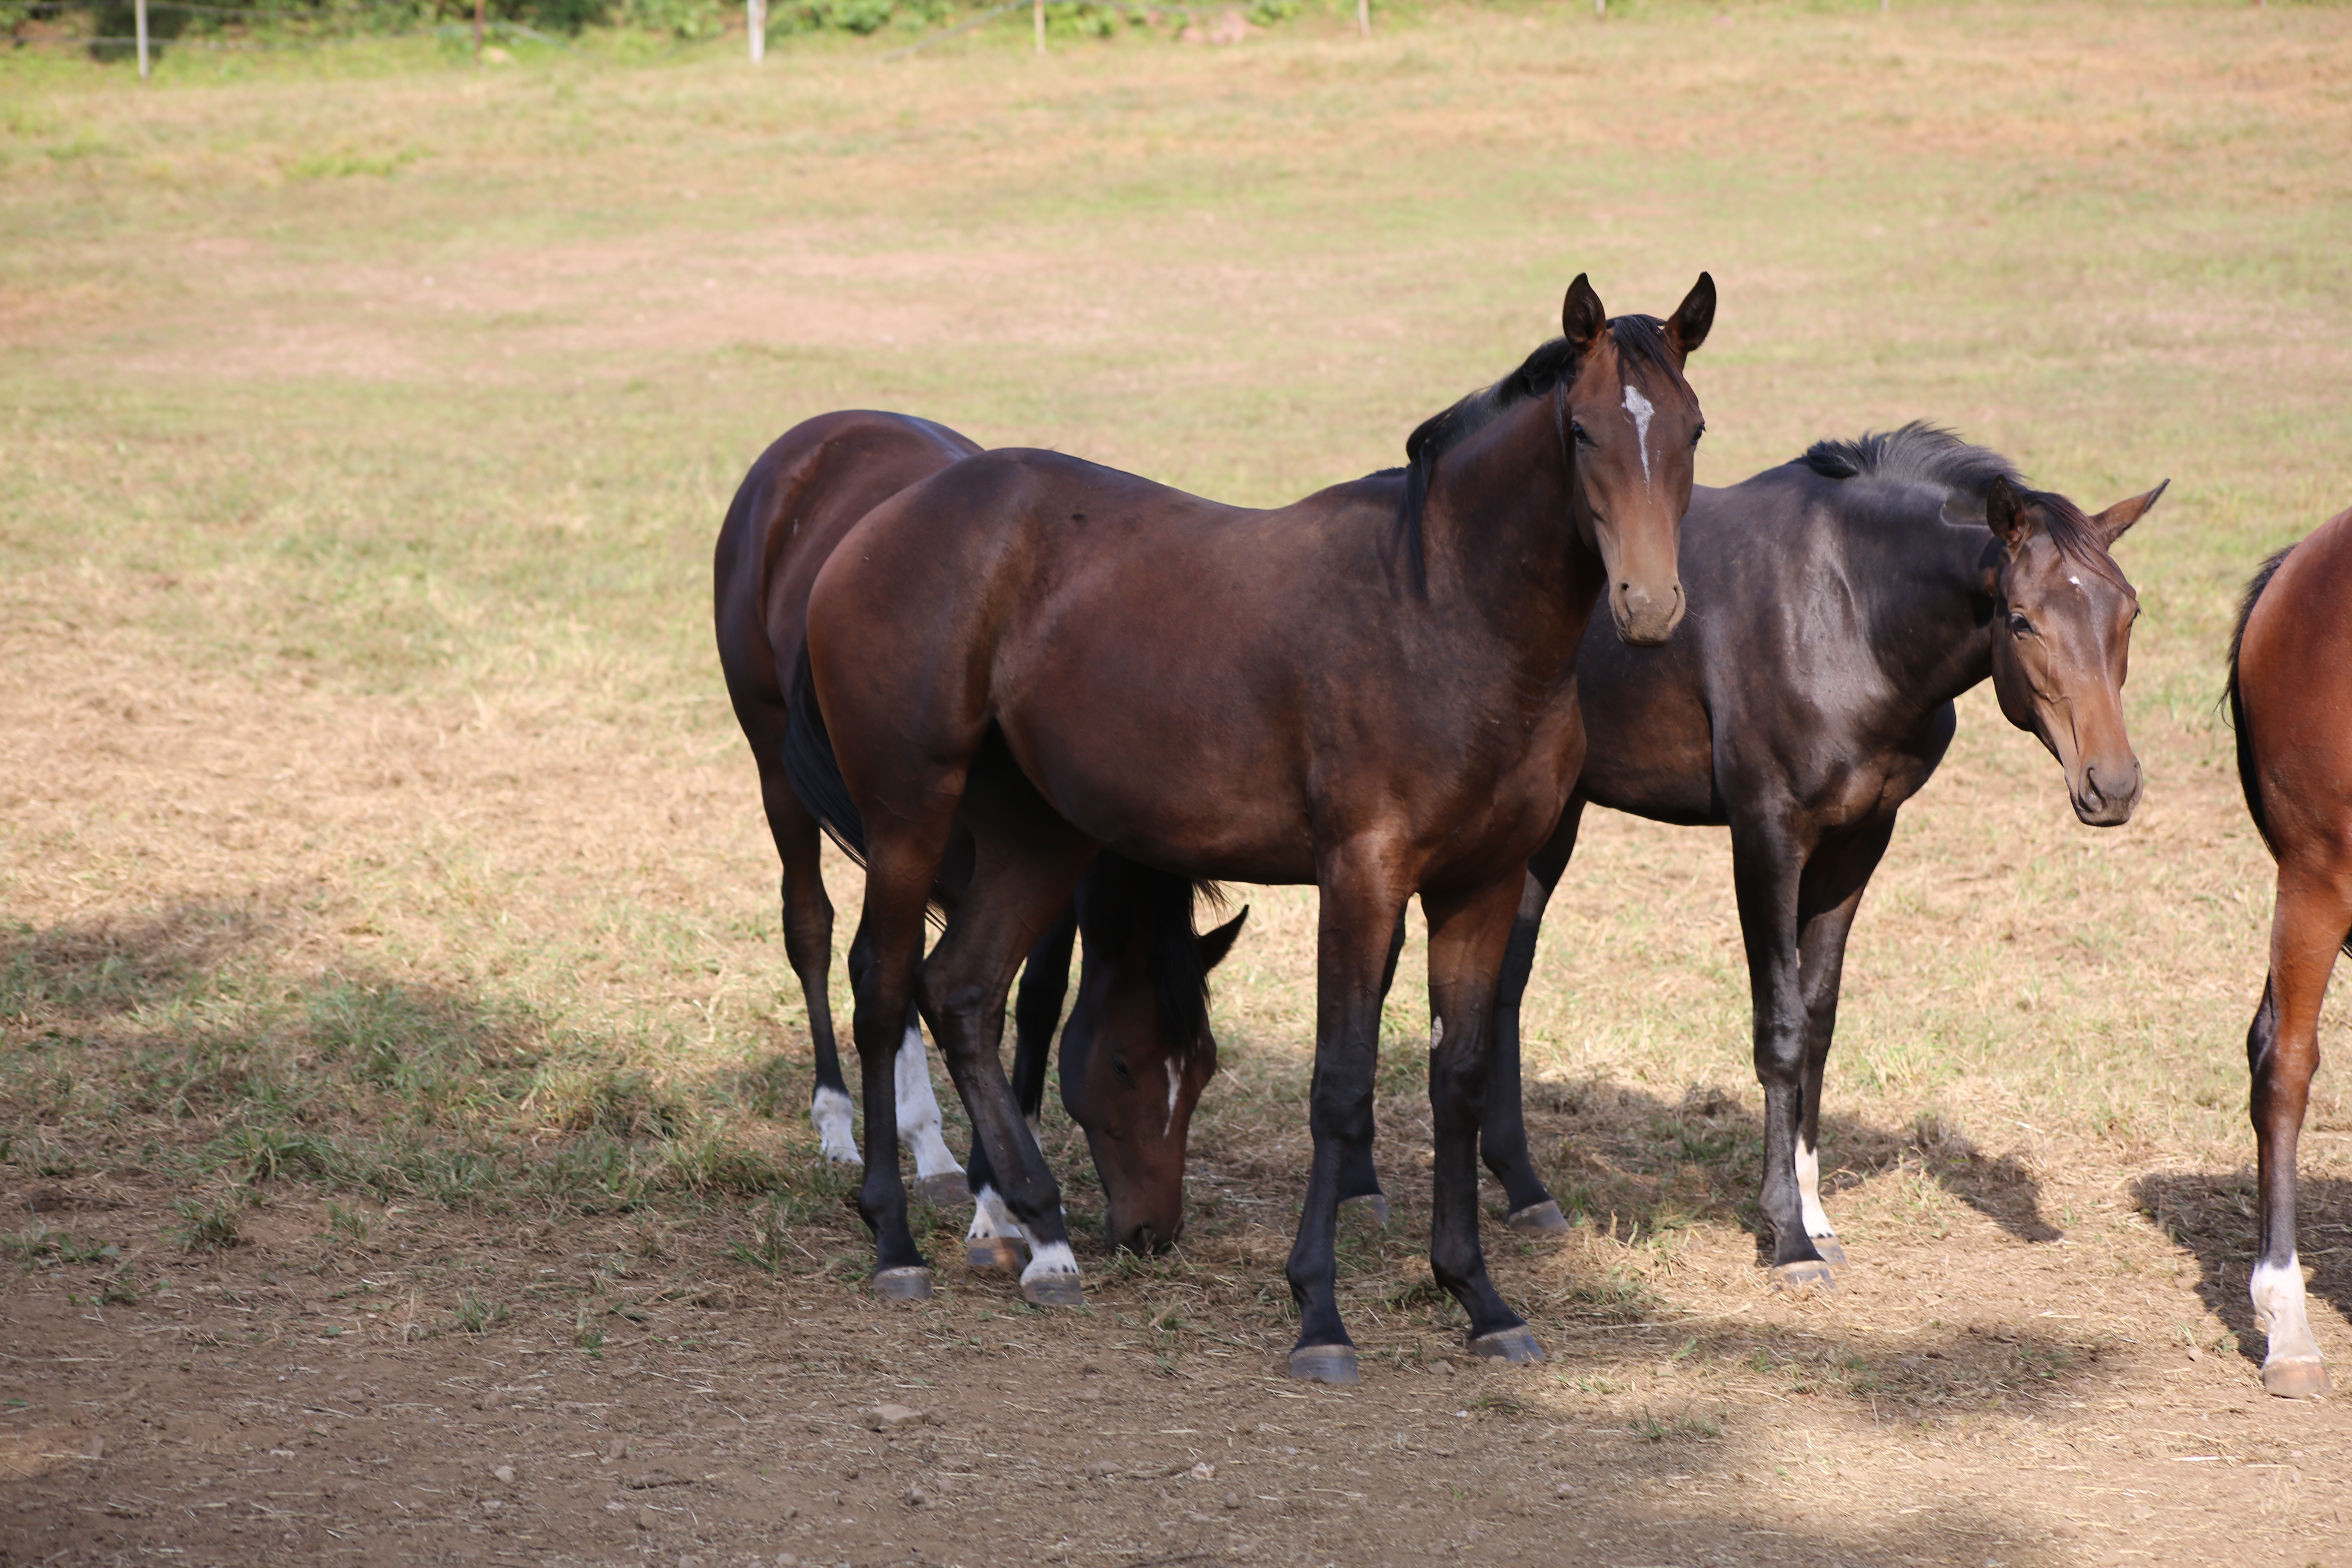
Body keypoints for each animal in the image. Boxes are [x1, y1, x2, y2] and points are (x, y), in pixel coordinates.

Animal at [706, 404, 1251, 1260]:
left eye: (1203, 1068)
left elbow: (1030, 999)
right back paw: (839, 1122)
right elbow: (944, 988)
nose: (1152, 1234)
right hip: (780, 770)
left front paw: (994, 1178)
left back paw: (928, 1147)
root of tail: (821, 433)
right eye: (1125, 1066)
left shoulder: (1038, 875)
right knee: (814, 930)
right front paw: (997, 1202)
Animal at [785, 276, 1712, 1382]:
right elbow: (1340, 1085)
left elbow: (1456, 1078)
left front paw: (1479, 1297)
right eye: (1580, 431)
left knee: (959, 990)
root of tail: (868, 530)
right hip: (909, 817)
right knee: (883, 990)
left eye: (1695, 430)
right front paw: (1319, 1312)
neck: (1441, 609)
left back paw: (1044, 1234)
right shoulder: (1362, 877)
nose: (1649, 604)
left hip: (1037, 835)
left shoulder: (1480, 887)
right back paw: (893, 1236)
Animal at [1336, 425, 2154, 1288]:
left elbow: (1819, 1020)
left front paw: (1817, 1215)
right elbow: (1780, 1029)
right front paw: (1788, 1235)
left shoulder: (1860, 840)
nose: (2113, 785)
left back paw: (1526, 1189)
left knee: (1503, 987)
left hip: (1545, 826)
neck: (1849, 612)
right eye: (2022, 620)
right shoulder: (1767, 835)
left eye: (2130, 611)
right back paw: (1360, 1190)